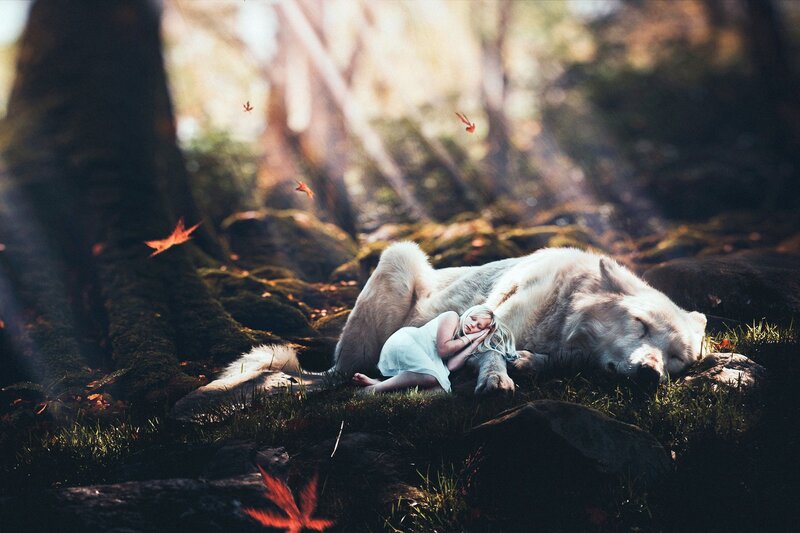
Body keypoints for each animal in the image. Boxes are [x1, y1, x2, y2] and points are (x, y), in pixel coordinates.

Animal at [331, 242, 708, 394]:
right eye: (640, 324)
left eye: (676, 357)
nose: (649, 374)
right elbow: (491, 353)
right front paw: (495, 380)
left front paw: (530, 362)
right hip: (400, 256)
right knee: (345, 368)